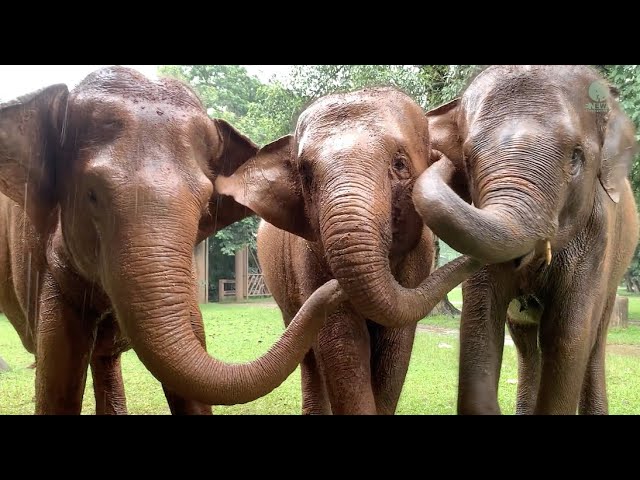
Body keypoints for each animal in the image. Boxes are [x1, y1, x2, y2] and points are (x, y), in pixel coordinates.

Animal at [215, 85, 480, 412]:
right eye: (306, 175)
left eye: (400, 164)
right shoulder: (308, 255)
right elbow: (342, 340)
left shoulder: (420, 257)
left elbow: (396, 344)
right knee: (306, 347)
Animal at [412, 65, 636, 414]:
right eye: (467, 157)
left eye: (576, 157)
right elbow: (479, 324)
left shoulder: (599, 234)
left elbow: (569, 335)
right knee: (526, 342)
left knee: (594, 339)